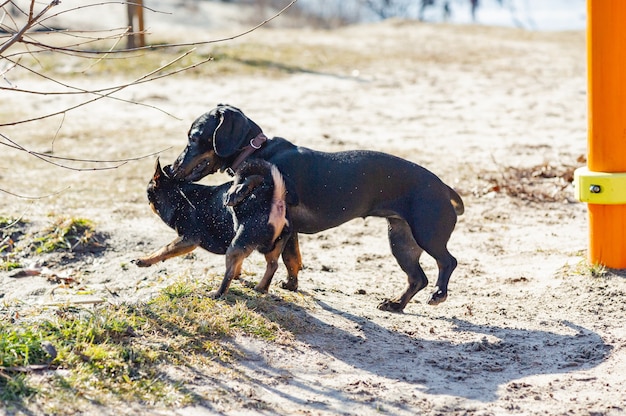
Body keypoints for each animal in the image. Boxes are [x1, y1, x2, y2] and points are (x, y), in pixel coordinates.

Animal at [134, 158, 294, 298]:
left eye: (148, 194)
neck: (177, 196)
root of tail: (274, 200)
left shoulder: (188, 239)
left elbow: (164, 249)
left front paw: (144, 260)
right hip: (272, 246)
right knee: (272, 265)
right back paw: (261, 288)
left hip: (234, 248)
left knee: (228, 274)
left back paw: (217, 293)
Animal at [171, 103, 464, 312]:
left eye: (194, 137)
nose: (172, 168)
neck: (257, 150)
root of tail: (444, 187)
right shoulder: (290, 230)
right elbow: (292, 259)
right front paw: (290, 285)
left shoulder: (284, 195)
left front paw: (237, 189)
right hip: (401, 240)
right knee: (417, 278)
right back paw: (396, 304)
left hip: (427, 234)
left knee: (448, 261)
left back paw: (438, 294)